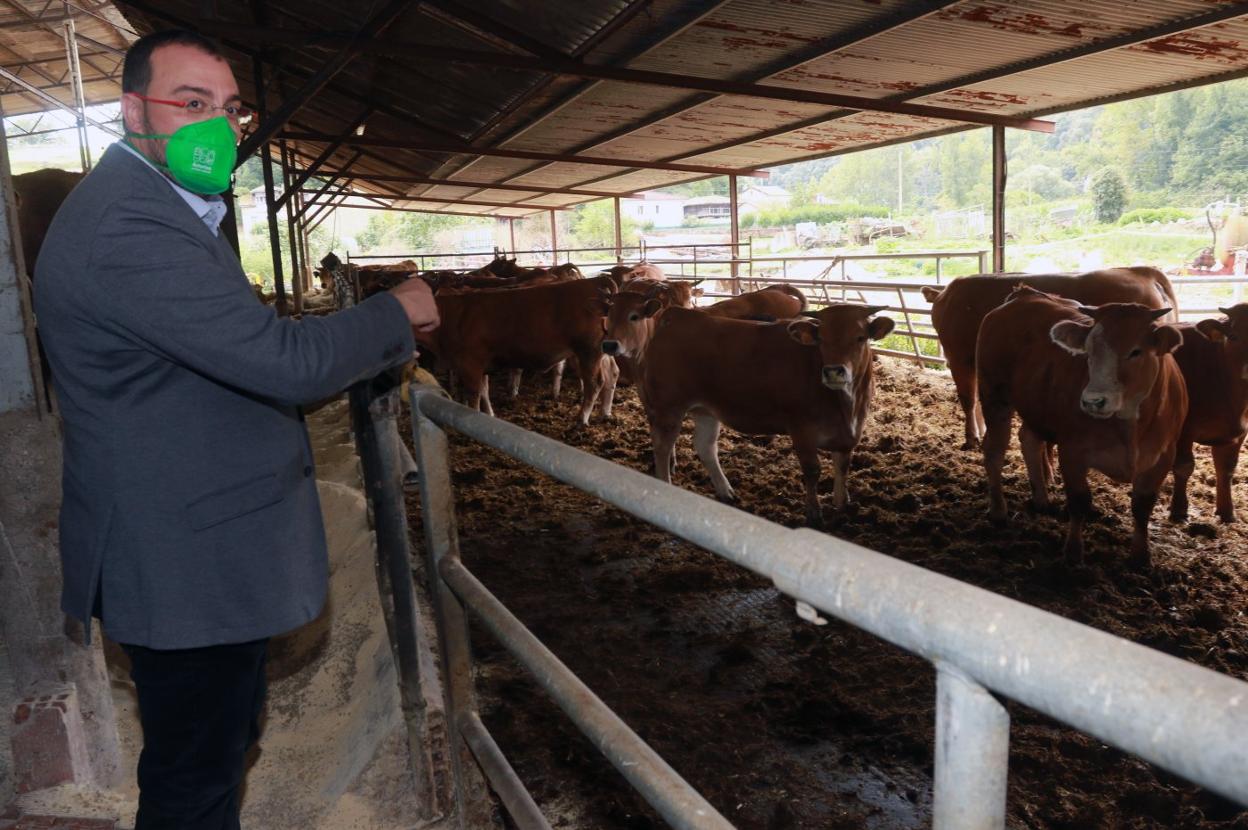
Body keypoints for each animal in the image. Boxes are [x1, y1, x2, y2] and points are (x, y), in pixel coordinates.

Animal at [628, 303, 893, 524]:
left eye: (860, 338)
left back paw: (726, 491)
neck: (846, 407)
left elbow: (843, 466)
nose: (834, 371)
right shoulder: (801, 429)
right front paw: (814, 513)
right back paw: (666, 487)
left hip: (706, 411)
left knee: (705, 447)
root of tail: (679, 315)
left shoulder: (849, 432)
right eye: (821, 340)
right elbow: (812, 470)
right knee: (662, 447)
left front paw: (841, 503)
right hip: (668, 408)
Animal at [973, 288, 1188, 566]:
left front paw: (1141, 557)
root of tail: (1023, 295)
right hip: (994, 395)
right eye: (1088, 351)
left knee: (1029, 439)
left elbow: (1142, 506)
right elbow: (1078, 500)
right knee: (995, 451)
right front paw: (1073, 552)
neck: (1129, 426)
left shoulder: (1163, 457)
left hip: (1035, 405)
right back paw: (999, 510)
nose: (1092, 401)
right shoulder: (1072, 451)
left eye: (1136, 351)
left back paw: (1041, 499)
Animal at [1168, 304, 1248, 524]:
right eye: (1234, 336)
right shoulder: (1184, 429)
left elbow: (1227, 468)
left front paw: (1227, 512)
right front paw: (1179, 510)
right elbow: (1184, 466)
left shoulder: (1239, 433)